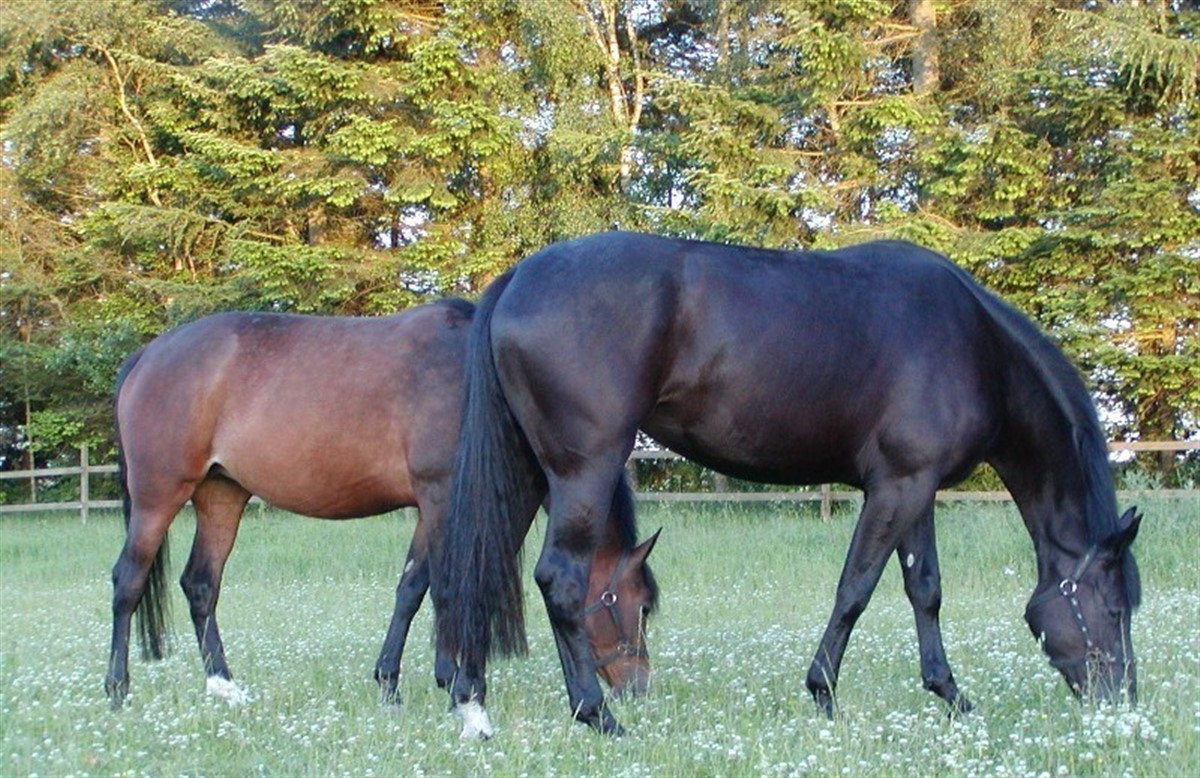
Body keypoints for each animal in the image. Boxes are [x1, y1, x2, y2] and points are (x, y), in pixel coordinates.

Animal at [104, 299, 658, 712]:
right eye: (632, 604)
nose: (638, 687)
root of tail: (148, 355)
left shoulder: (431, 509)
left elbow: (412, 588)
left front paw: (394, 682)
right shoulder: (440, 497)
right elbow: (446, 588)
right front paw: (454, 685)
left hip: (222, 494)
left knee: (201, 585)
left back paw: (225, 687)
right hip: (159, 497)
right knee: (128, 581)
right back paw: (117, 689)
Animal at [432, 231, 1142, 737]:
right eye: (1114, 609)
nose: (1123, 703)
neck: (977, 344)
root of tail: (518, 278)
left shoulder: (917, 488)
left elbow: (925, 591)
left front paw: (951, 697)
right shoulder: (897, 488)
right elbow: (856, 589)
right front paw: (824, 694)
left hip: (529, 472)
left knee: (482, 566)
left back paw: (473, 703)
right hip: (584, 471)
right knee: (559, 579)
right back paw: (598, 716)